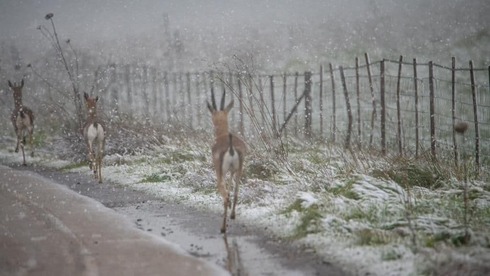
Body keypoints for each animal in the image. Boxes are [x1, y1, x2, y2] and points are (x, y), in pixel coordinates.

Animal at [207, 86, 247, 233]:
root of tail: (230, 147)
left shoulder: (223, 172)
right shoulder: (231, 172)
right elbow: (231, 190)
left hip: (220, 172)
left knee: (225, 195)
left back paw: (223, 227)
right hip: (239, 170)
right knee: (235, 192)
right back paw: (232, 215)